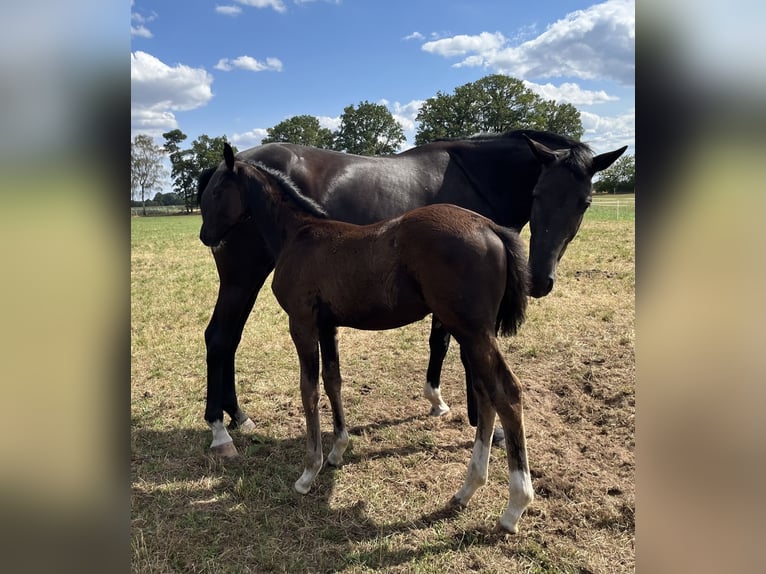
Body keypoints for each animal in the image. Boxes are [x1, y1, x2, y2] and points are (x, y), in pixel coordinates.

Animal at [197, 130, 627, 456]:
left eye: (584, 202)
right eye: (537, 195)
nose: (539, 279)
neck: (476, 175)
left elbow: (442, 343)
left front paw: (440, 401)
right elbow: (457, 351)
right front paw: (480, 421)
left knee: (229, 339)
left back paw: (237, 416)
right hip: (241, 279)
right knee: (219, 338)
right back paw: (219, 429)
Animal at [200, 142, 534, 533]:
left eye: (217, 192)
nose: (206, 237)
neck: (297, 234)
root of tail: (490, 227)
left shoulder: (302, 322)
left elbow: (309, 389)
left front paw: (308, 472)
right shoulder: (327, 325)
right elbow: (333, 380)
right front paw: (337, 450)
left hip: (472, 330)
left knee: (506, 393)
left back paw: (514, 506)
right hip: (472, 332)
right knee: (485, 393)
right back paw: (467, 489)